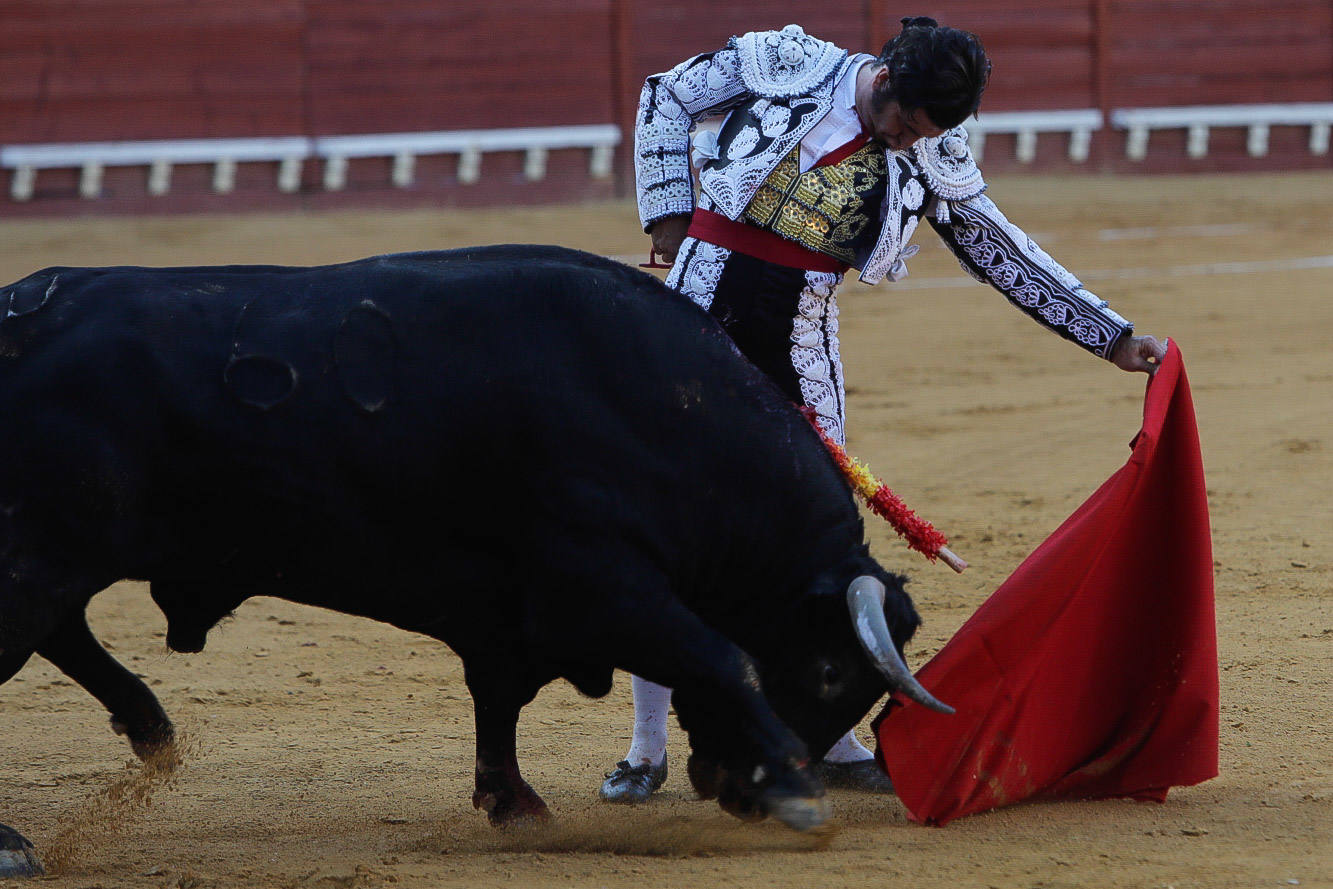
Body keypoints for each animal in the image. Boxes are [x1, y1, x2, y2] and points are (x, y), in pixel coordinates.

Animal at [0, 243, 949, 863]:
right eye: (828, 671)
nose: (737, 786)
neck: (662, 410)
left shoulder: (510, 615)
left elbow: (499, 701)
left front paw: (513, 803)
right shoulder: (598, 584)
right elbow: (721, 655)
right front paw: (801, 792)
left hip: (56, 558)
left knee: (65, 633)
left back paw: (151, 729)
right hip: (35, 557)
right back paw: (22, 836)